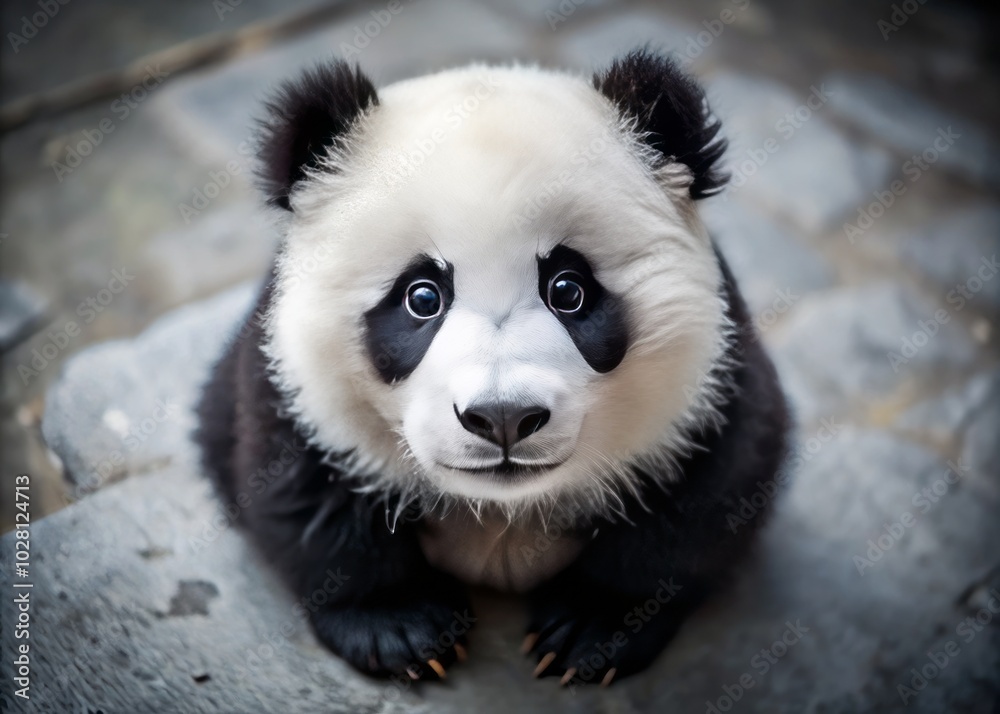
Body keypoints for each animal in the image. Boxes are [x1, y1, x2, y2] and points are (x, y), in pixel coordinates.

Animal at [196, 48, 789, 687]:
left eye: (568, 290)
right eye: (422, 297)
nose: (503, 418)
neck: (505, 509)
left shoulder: (708, 381)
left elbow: (708, 491)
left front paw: (592, 625)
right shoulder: (292, 382)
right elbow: (301, 488)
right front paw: (398, 624)